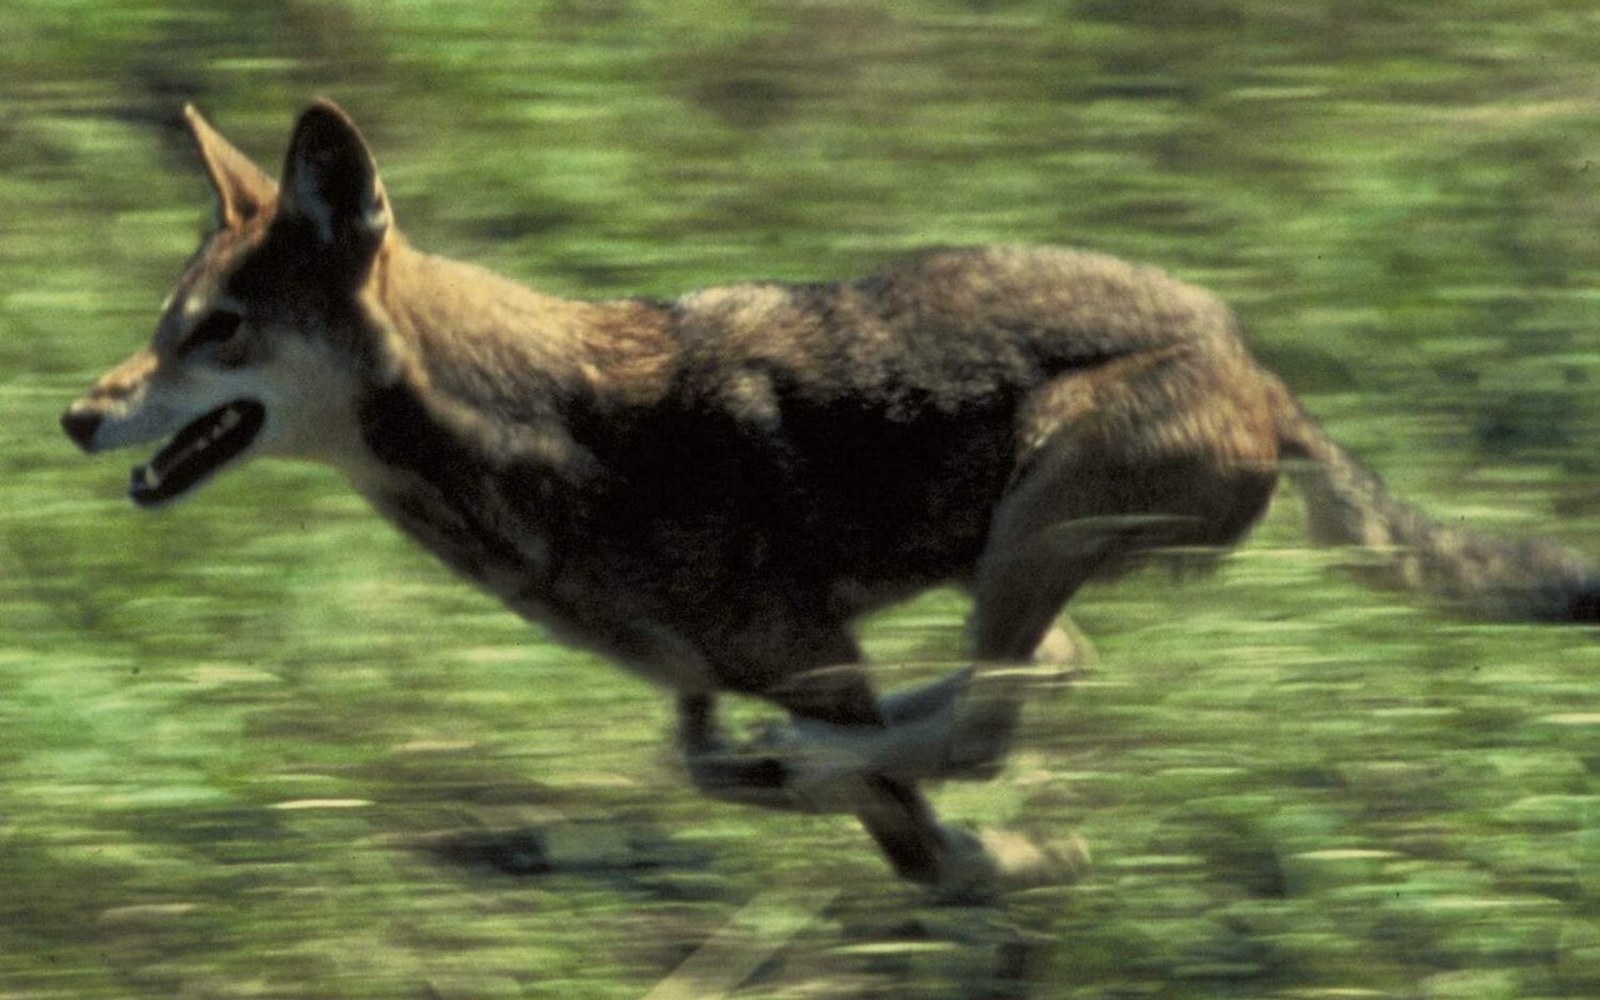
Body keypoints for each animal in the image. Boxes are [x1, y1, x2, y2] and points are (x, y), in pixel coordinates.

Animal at [62, 100, 1600, 898]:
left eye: (219, 335)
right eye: (165, 324)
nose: (77, 414)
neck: (539, 435)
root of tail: (1260, 367)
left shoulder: (804, 652)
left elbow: (910, 825)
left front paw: (986, 853)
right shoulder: (723, 670)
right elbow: (720, 761)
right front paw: (932, 833)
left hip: (1039, 501)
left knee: (990, 707)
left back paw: (855, 763)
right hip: (1011, 557)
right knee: (1028, 677)